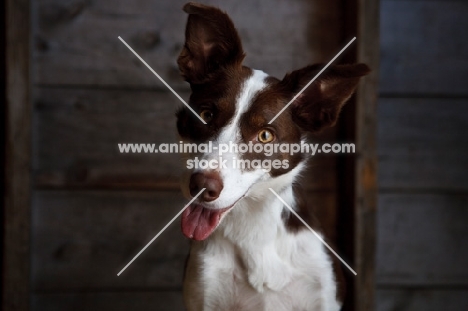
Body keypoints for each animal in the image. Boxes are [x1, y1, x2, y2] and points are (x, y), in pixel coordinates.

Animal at [176, 3, 370, 311]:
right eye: (205, 114)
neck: (253, 230)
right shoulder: (203, 291)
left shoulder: (322, 292)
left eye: (265, 135)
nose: (202, 186)